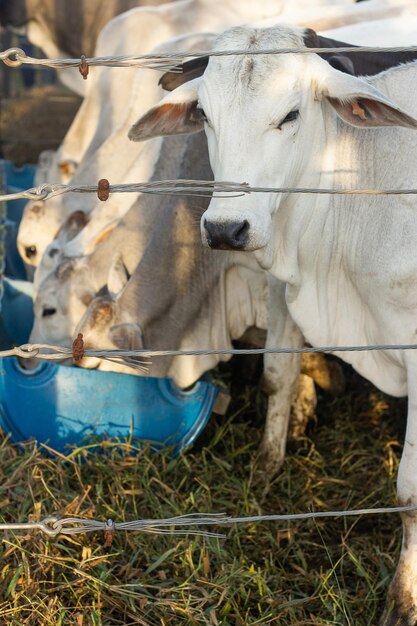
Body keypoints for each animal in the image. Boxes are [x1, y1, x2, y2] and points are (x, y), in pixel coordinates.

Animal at [127, 22, 417, 620]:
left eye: (291, 115)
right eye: (204, 115)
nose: (226, 227)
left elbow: (410, 494)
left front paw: (402, 600)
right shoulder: (286, 289)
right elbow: (276, 378)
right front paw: (265, 472)